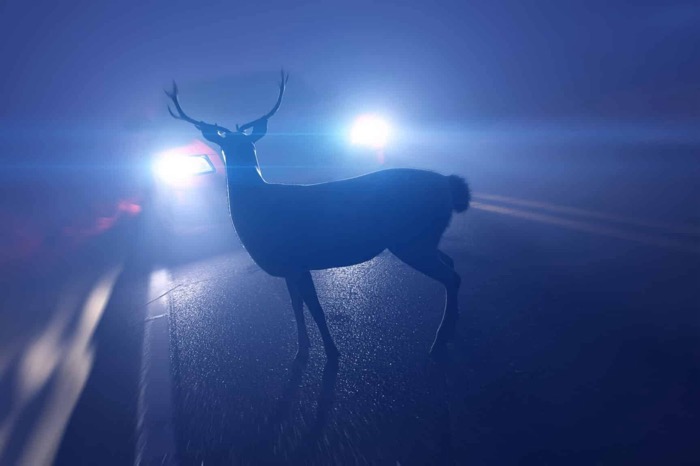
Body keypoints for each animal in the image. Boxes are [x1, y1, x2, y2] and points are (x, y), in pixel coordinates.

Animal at [165, 71, 470, 360]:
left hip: (411, 239)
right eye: (225, 147)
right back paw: (452, 331)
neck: (258, 209)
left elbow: (316, 309)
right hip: (423, 237)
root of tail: (449, 184)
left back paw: (438, 341)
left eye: (249, 145)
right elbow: (296, 309)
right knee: (451, 264)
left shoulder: (296, 261)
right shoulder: (290, 267)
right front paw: (301, 350)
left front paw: (333, 352)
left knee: (451, 276)